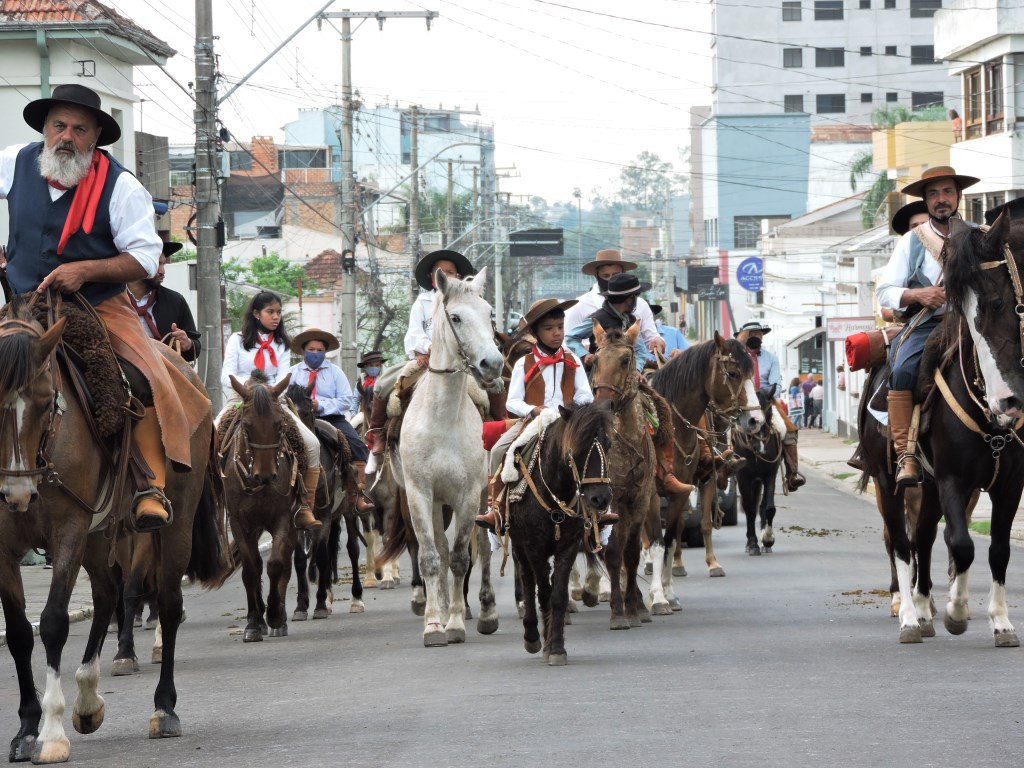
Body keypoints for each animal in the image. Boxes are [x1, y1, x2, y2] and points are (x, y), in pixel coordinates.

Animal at [0, 294, 222, 765]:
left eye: (46, 401)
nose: (17, 493)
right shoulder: (4, 546)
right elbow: (19, 633)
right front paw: (26, 729)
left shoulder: (68, 530)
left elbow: (52, 622)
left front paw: (51, 733)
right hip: (100, 535)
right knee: (107, 594)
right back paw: (87, 699)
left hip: (170, 526)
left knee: (168, 605)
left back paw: (164, 708)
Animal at [391, 270, 503, 651]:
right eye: (455, 317)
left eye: (489, 314)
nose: (493, 364)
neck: (441, 420)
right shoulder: (420, 493)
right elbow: (431, 556)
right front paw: (433, 624)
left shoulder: (467, 496)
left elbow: (459, 558)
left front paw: (454, 623)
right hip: (438, 502)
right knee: (439, 547)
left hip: (481, 495)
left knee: (483, 550)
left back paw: (485, 612)